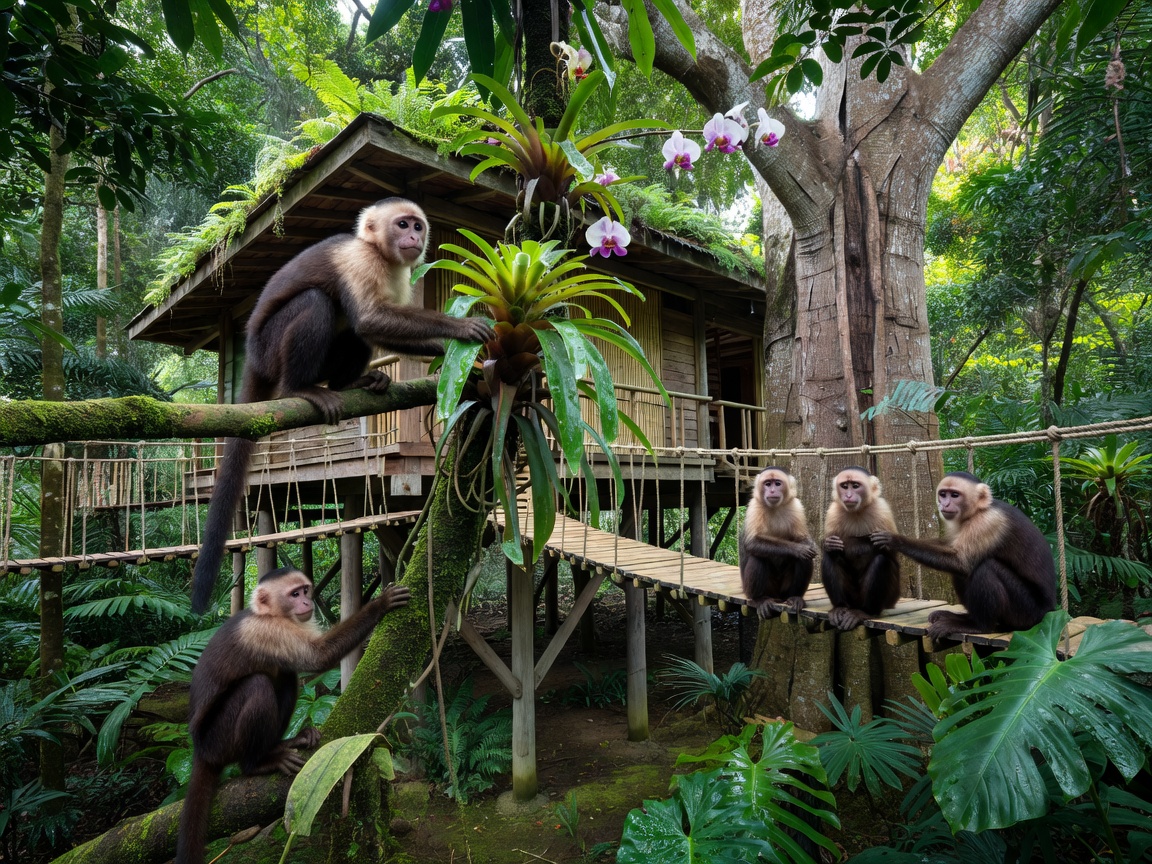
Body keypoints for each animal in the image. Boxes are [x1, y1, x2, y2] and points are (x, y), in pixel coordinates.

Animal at [175, 566, 411, 864]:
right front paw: (380, 604)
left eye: (305, 590)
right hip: (219, 739)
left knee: (286, 677)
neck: (269, 614)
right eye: (294, 594)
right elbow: (319, 657)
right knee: (258, 685)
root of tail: (201, 749)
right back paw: (257, 763)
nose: (307, 602)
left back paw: (285, 743)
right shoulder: (270, 631)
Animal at [190, 199, 494, 612]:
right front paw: (458, 328)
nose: (414, 238)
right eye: (402, 225)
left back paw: (349, 383)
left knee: (349, 328)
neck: (379, 252)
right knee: (318, 304)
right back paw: (301, 388)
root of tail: (251, 354)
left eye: (417, 225)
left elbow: (373, 324)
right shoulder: (359, 260)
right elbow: (370, 317)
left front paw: (450, 352)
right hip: (270, 349)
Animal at [739, 467, 818, 617]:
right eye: (767, 484)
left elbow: (802, 539)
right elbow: (752, 543)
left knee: (804, 560)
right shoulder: (754, 506)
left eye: (777, 483)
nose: (772, 491)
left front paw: (809, 545)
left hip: (784, 590)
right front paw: (799, 549)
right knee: (758, 557)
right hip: (758, 589)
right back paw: (760, 599)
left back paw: (795, 597)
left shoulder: (796, 505)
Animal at [821, 467, 901, 630]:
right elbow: (831, 546)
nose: (848, 495)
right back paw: (840, 607)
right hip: (851, 598)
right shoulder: (833, 511)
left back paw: (866, 612)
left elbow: (890, 552)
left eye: (855, 486)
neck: (857, 511)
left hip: (891, 598)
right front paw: (829, 544)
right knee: (830, 556)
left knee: (881, 560)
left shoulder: (882, 509)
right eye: (845, 486)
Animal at [870, 471, 1057, 641]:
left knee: (985, 567)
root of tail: (1049, 611)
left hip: (1027, 613)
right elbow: (950, 550)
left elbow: (961, 562)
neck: (977, 511)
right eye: (943, 494)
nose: (945, 504)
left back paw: (980, 626)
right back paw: (965, 618)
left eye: (954, 495)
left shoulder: (987, 522)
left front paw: (896, 540)